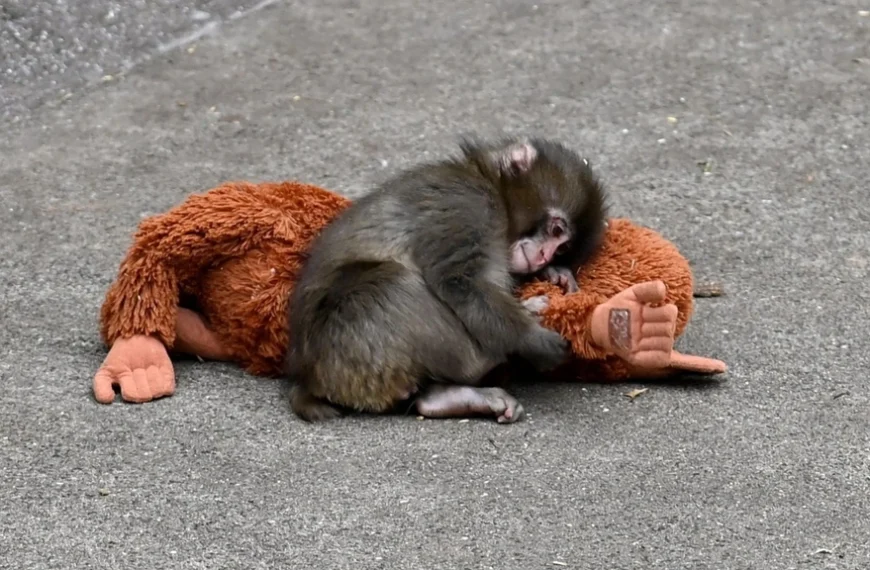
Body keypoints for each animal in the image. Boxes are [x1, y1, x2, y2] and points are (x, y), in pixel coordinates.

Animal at [284, 135, 607, 423]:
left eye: (562, 249)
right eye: (556, 230)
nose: (543, 257)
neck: (490, 185)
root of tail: (307, 378)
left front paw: (555, 274)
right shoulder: (469, 205)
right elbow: (460, 281)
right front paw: (532, 339)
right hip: (347, 345)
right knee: (392, 283)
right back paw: (488, 357)